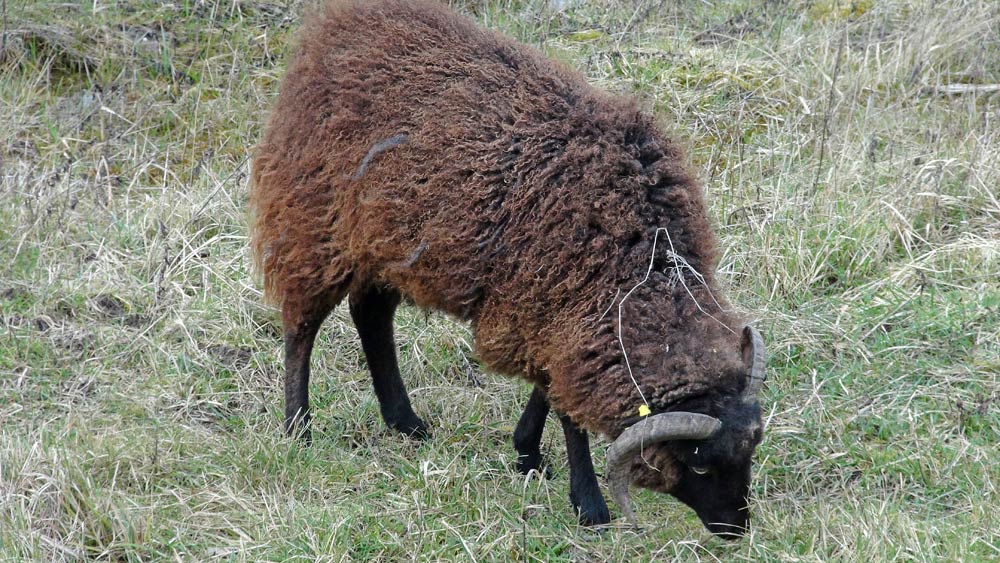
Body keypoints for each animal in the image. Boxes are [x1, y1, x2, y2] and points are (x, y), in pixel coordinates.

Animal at [250, 0, 766, 537]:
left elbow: (550, 387)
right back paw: (298, 428)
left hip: (385, 240)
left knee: (370, 315)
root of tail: (333, 26)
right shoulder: (557, 307)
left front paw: (527, 453)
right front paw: (589, 504)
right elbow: (568, 410)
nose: (735, 529)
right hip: (312, 218)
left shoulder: (555, 313)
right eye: (699, 463)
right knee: (302, 325)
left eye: (751, 447)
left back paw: (405, 422)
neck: (643, 271)